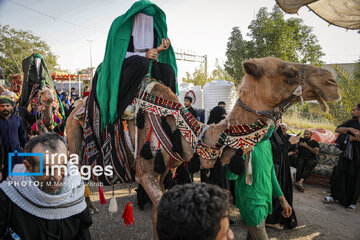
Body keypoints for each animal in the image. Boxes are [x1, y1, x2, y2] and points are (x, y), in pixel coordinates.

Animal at [65, 56, 340, 238]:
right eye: (289, 72)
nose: (332, 82)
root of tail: (77, 104)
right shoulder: (144, 172)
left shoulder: (165, 169)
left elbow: (156, 214)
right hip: (74, 141)